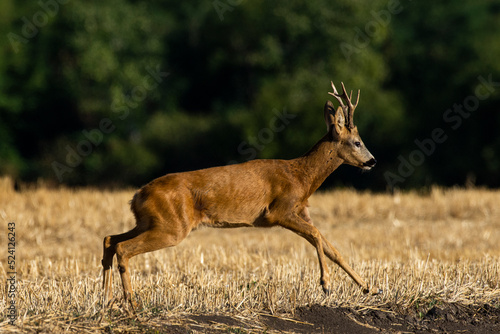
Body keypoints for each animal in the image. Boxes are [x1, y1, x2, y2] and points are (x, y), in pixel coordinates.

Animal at [103, 81, 380, 308]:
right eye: (357, 142)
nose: (372, 161)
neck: (301, 178)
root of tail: (137, 196)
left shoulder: (301, 211)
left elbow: (331, 247)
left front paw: (370, 288)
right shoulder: (279, 210)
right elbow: (315, 236)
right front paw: (326, 284)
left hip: (149, 222)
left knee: (110, 240)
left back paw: (106, 300)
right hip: (172, 227)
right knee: (123, 248)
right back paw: (131, 302)